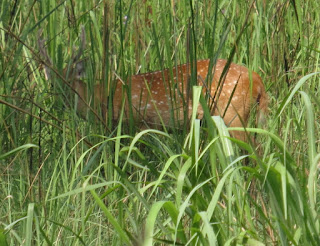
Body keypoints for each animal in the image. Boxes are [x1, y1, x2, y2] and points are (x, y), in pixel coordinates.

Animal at [37, 33, 268, 142]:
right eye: (52, 79)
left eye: (69, 79)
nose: (58, 95)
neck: (102, 97)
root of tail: (258, 80)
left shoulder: (137, 121)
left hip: (232, 113)